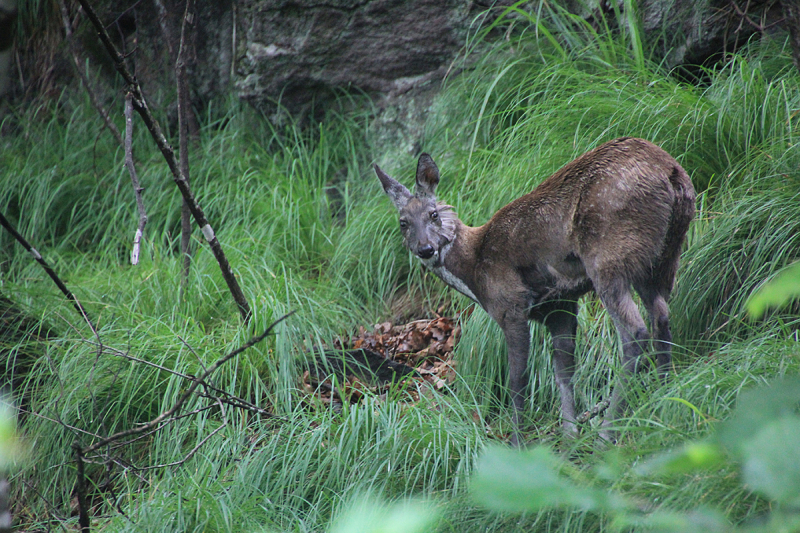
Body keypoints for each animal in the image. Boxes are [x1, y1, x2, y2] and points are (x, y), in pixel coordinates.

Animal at [376, 138, 692, 444]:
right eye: (403, 223)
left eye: (433, 215)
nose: (425, 249)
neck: (474, 269)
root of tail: (672, 172)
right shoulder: (559, 305)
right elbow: (563, 371)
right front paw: (569, 437)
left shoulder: (511, 304)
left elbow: (518, 380)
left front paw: (518, 443)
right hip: (662, 259)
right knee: (661, 317)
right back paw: (664, 399)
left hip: (609, 257)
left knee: (635, 332)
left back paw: (607, 433)